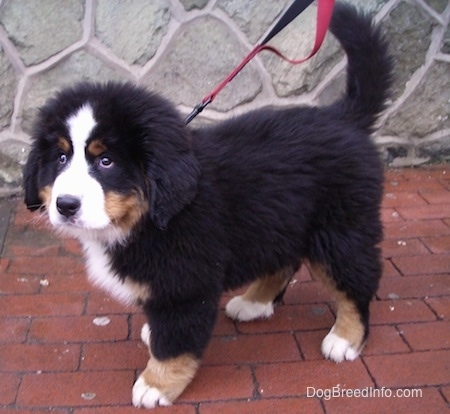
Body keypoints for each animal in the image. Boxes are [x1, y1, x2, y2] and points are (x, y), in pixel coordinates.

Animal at [24, 3, 392, 410]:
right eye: (60, 158)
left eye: (105, 162)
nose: (65, 205)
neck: (152, 216)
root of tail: (345, 117)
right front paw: (154, 338)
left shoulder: (186, 282)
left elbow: (175, 343)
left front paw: (156, 384)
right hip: (281, 220)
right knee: (285, 261)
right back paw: (255, 302)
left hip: (340, 229)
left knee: (356, 280)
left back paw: (346, 337)